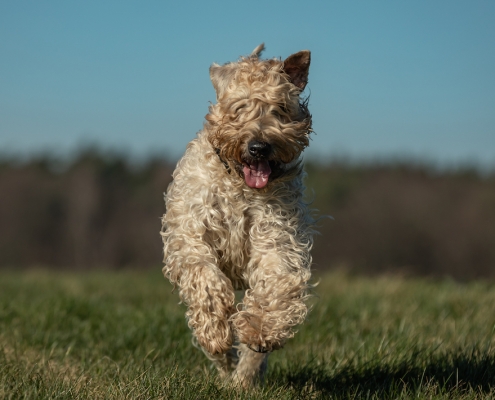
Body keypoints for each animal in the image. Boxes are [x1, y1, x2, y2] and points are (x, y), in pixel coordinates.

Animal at [163, 43, 318, 388]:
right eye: (239, 106)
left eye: (280, 108)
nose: (259, 147)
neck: (238, 186)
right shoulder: (192, 233)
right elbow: (205, 278)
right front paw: (216, 334)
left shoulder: (276, 236)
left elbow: (277, 284)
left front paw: (260, 330)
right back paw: (224, 357)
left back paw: (244, 377)